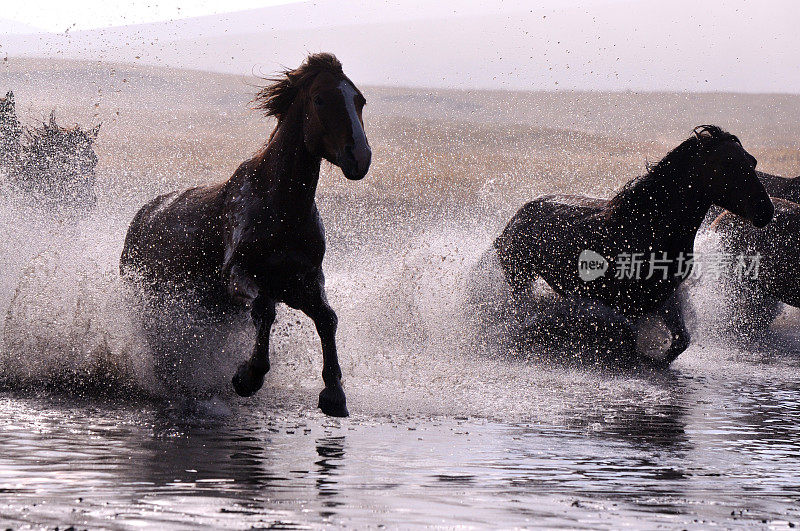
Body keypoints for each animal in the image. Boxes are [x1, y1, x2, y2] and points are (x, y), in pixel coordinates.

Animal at [119, 55, 372, 420]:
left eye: (359, 100)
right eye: (320, 99)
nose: (359, 157)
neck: (282, 208)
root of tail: (141, 217)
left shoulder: (302, 281)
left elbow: (327, 319)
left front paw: (334, 393)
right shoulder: (239, 274)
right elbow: (263, 310)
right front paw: (247, 376)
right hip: (150, 305)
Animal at [494, 125, 776, 366]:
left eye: (752, 162)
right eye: (727, 164)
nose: (766, 211)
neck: (649, 225)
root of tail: (518, 216)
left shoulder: (665, 295)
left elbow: (679, 342)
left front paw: (655, 360)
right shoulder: (629, 303)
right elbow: (632, 339)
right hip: (520, 278)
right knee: (521, 313)